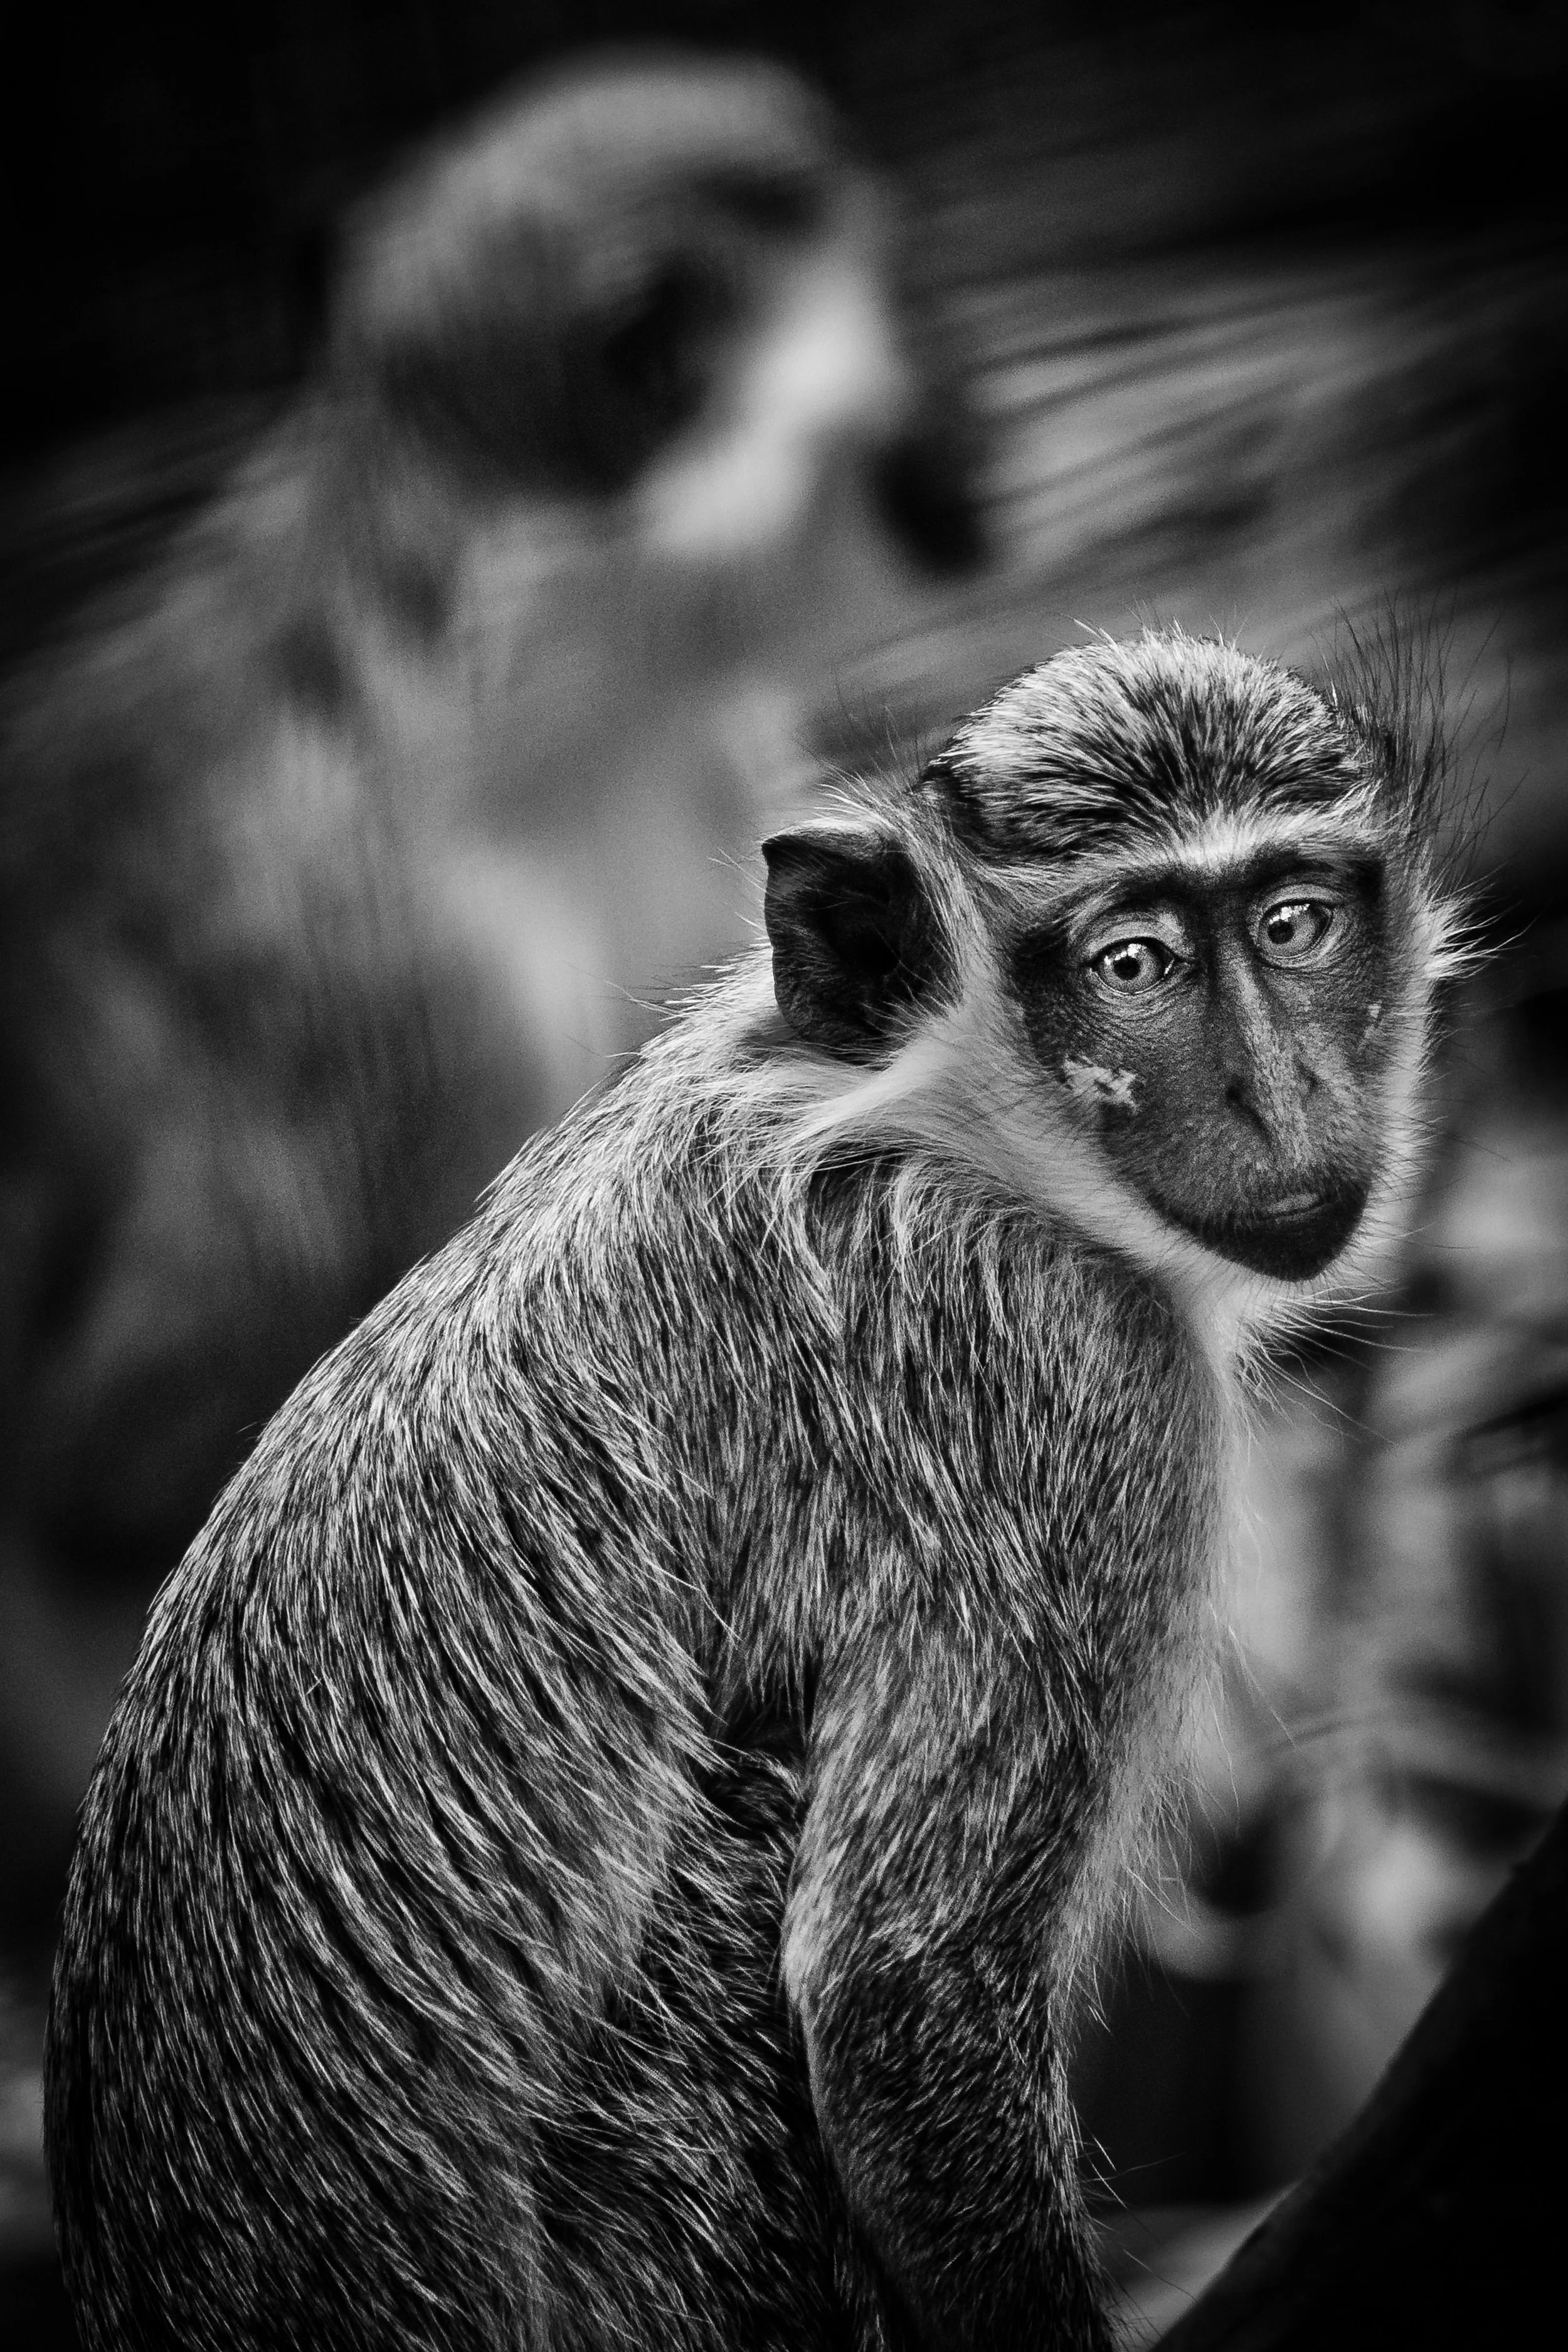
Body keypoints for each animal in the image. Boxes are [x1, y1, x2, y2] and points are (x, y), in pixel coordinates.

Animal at [0, 49, 985, 1959]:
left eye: (866, 271)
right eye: (655, 340)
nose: (905, 435)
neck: (541, 726)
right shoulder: (391, 979)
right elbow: (122, 1475)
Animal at [43, 627, 1463, 2352]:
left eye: (1293, 921)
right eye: (1133, 965)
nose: (1285, 1095)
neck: (909, 1111)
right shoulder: (1063, 1370)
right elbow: (895, 1987)